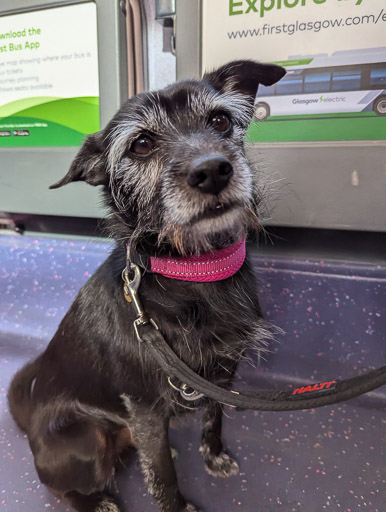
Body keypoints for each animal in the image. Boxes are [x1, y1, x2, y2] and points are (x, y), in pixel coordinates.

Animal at [8, 61, 286, 512]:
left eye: (220, 121)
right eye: (141, 144)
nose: (212, 170)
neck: (192, 273)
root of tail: (30, 424)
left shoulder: (221, 376)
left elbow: (214, 419)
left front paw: (214, 456)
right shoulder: (145, 408)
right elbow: (163, 475)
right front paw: (176, 503)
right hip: (86, 439)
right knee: (63, 488)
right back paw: (97, 501)